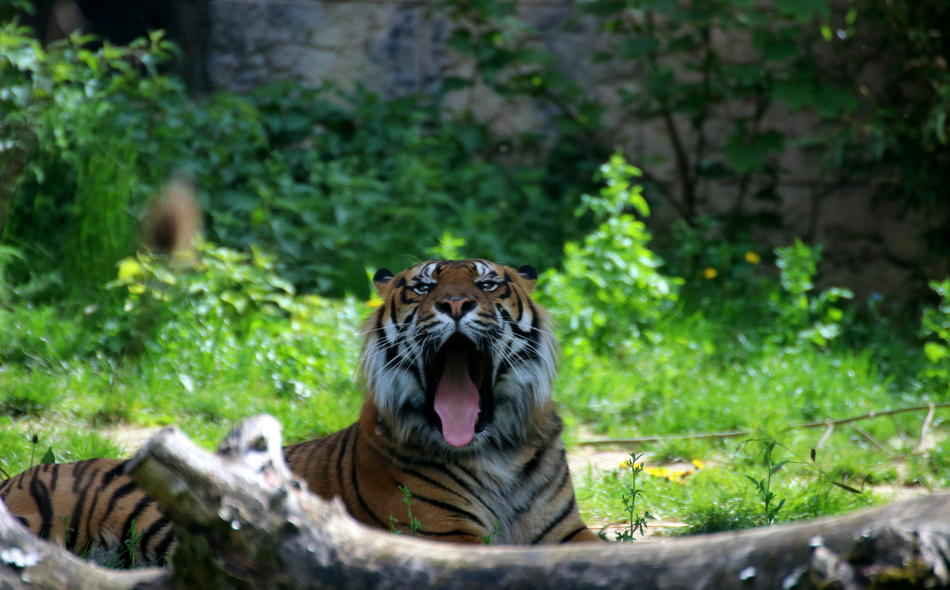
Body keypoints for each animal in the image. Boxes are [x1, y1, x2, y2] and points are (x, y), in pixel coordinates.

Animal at [0, 257, 600, 567]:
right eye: (423, 287)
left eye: (487, 283)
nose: (456, 304)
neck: (496, 448)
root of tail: (21, 475)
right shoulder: (443, 539)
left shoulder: (568, 534)